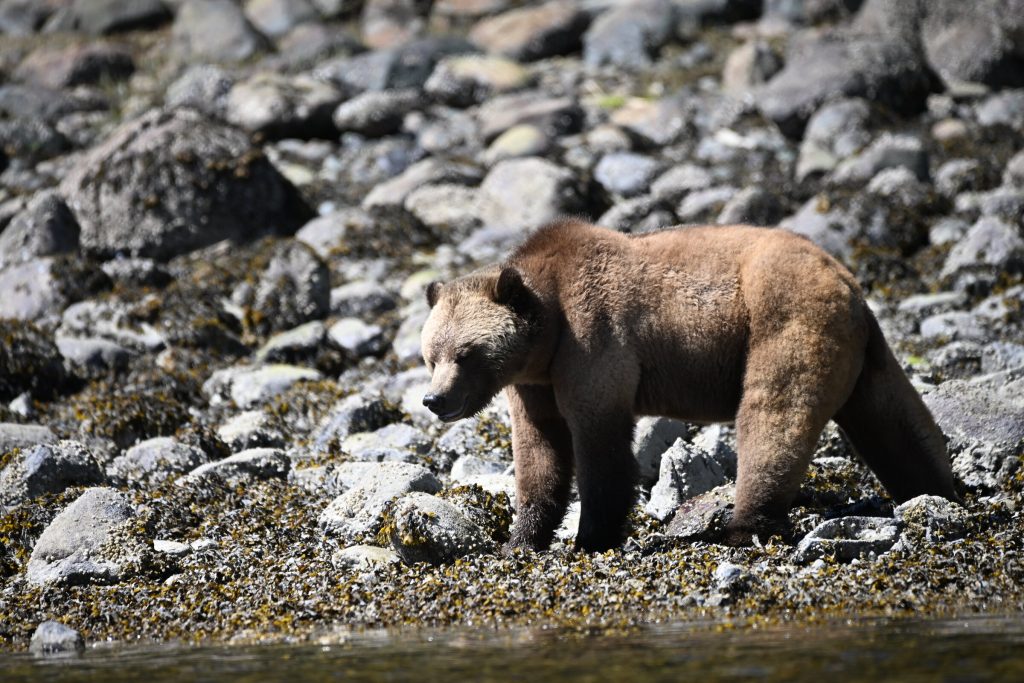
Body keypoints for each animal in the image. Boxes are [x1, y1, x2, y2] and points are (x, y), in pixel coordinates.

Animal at [419, 219, 958, 552]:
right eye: (430, 355)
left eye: (465, 354)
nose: (434, 399)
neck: (547, 330)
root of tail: (845, 277)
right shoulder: (535, 384)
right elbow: (540, 453)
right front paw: (520, 539)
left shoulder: (593, 342)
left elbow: (600, 446)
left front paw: (592, 536)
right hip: (864, 353)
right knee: (896, 421)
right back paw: (938, 494)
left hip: (785, 315)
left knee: (774, 414)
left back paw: (743, 526)